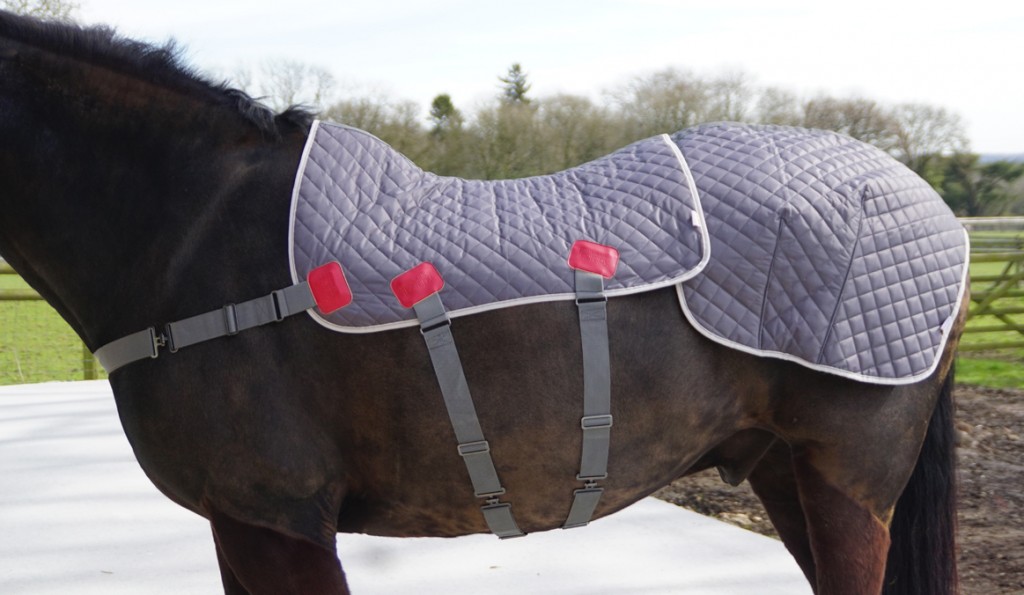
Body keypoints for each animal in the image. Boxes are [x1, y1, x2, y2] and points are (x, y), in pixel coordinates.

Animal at [0, 11, 965, 595]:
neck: (193, 225)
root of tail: (930, 207)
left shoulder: (275, 520)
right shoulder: (249, 526)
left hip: (848, 482)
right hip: (784, 469)